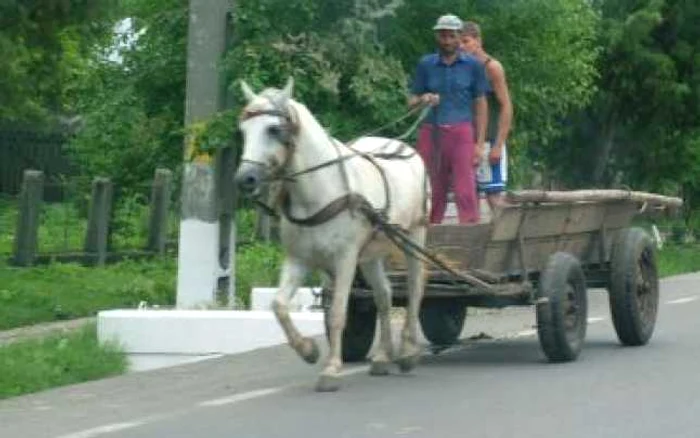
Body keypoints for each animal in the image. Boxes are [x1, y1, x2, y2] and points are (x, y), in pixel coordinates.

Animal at [234, 77, 432, 392]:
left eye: (273, 129)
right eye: (242, 131)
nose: (245, 179)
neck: (319, 191)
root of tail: (403, 146)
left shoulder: (345, 258)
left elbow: (339, 312)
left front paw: (330, 370)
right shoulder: (298, 259)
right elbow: (279, 306)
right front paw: (308, 350)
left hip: (414, 236)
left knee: (415, 288)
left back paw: (408, 352)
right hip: (371, 255)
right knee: (384, 295)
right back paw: (382, 357)